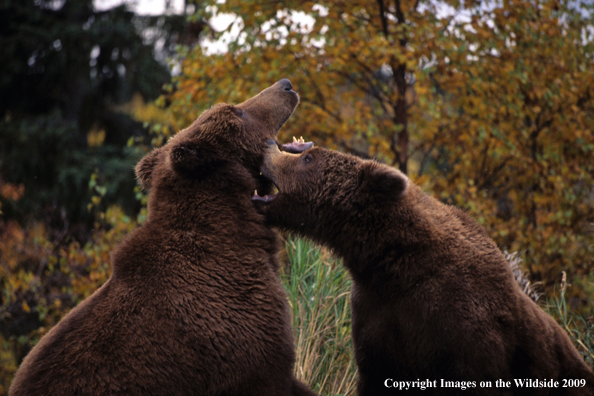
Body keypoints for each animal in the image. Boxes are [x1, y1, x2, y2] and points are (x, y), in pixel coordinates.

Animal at [254, 141, 592, 394]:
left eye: (308, 158)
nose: (268, 145)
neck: (393, 266)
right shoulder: (377, 315)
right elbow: (376, 371)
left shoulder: (462, 325)